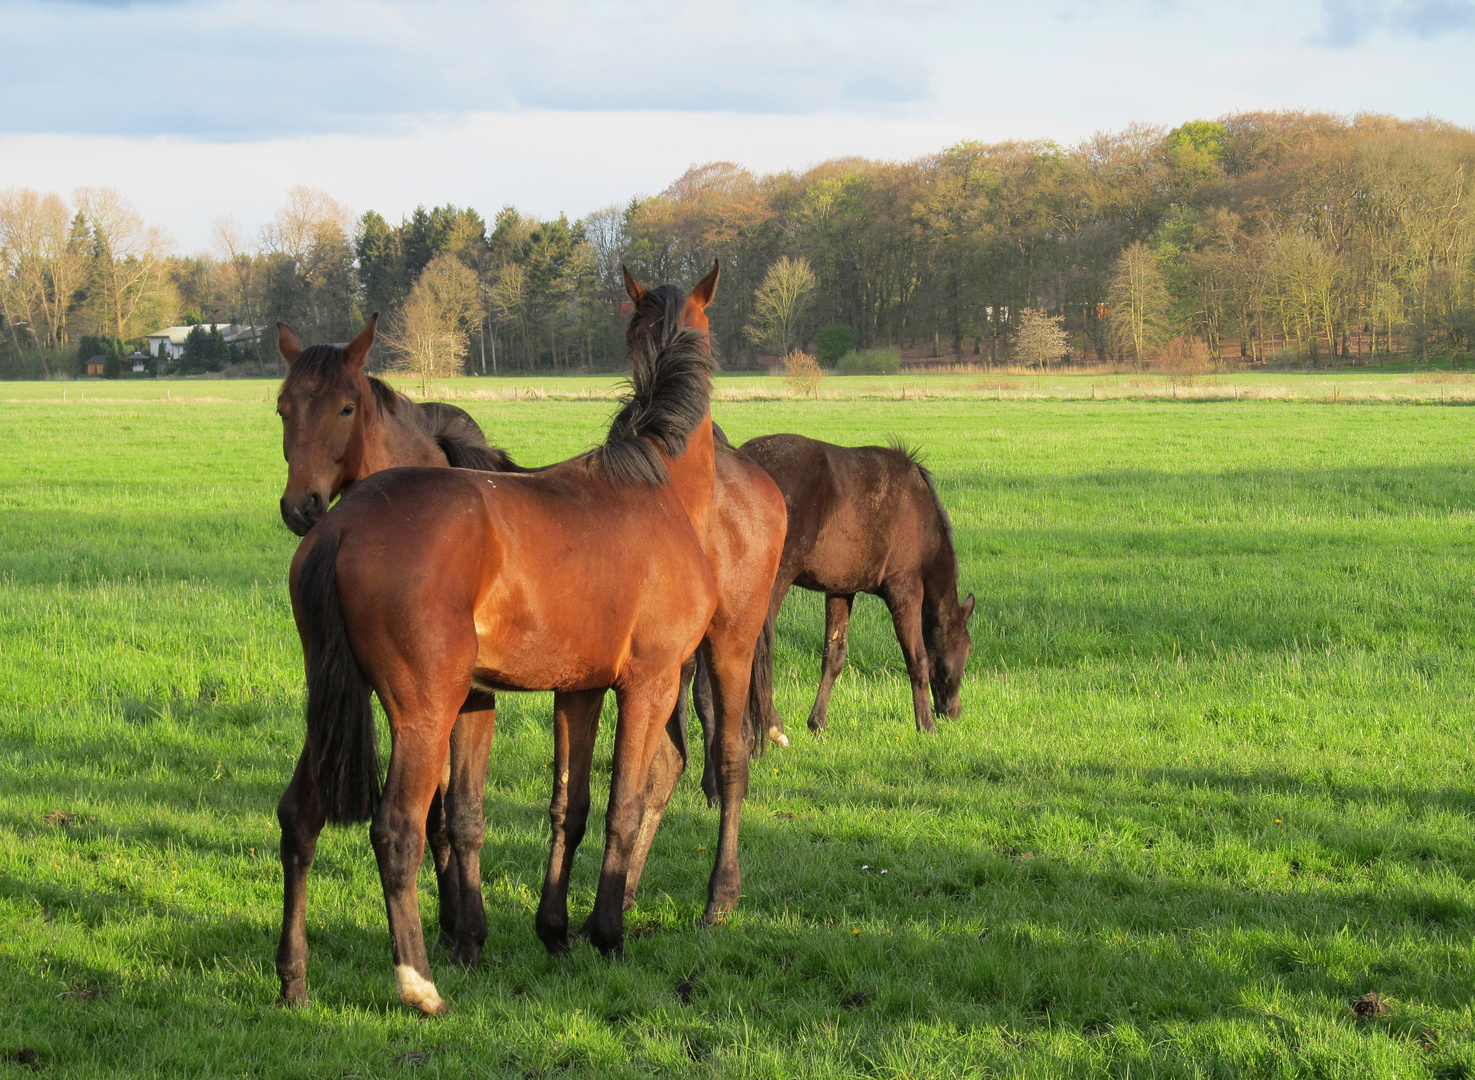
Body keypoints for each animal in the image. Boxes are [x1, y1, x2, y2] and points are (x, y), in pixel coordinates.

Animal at [737, 433, 979, 737]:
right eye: (967, 648)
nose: (952, 711)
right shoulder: (905, 589)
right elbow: (917, 658)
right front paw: (926, 726)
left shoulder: (841, 590)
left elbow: (833, 656)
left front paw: (817, 722)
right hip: (775, 581)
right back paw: (769, 725)